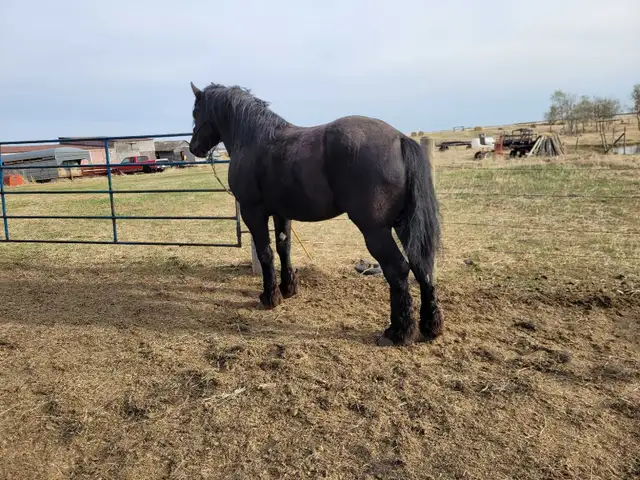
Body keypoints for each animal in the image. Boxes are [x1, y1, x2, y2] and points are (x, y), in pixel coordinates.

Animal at [188, 82, 443, 346]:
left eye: (196, 112)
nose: (193, 147)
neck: (253, 140)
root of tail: (399, 139)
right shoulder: (281, 213)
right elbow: (284, 247)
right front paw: (288, 288)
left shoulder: (253, 212)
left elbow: (266, 253)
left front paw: (270, 297)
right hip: (404, 223)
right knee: (422, 265)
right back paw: (429, 327)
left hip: (375, 230)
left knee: (398, 269)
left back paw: (398, 332)